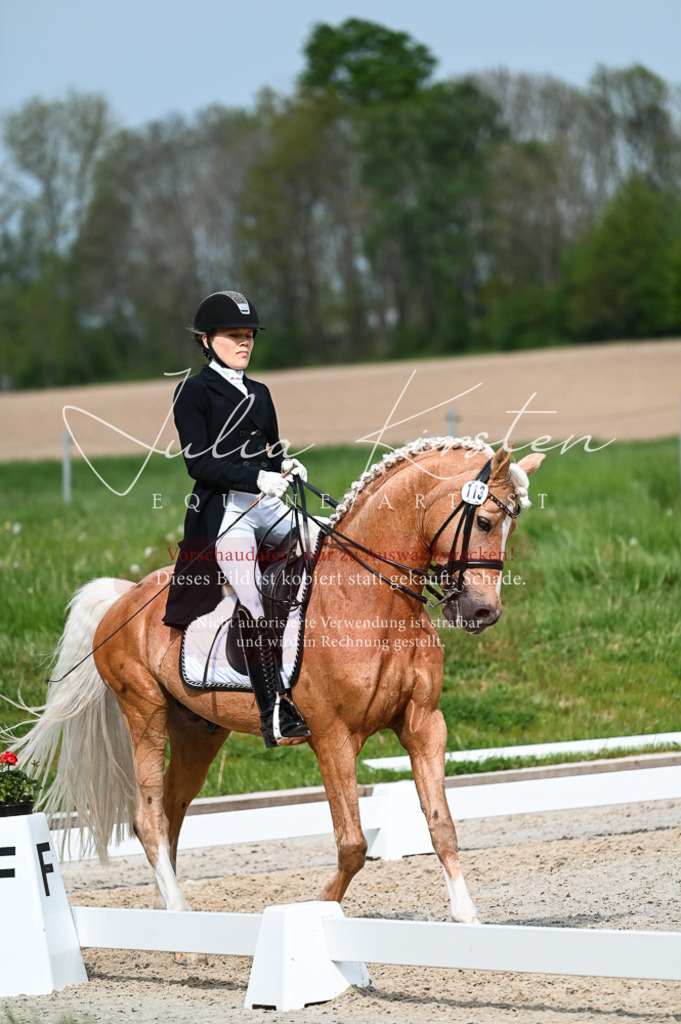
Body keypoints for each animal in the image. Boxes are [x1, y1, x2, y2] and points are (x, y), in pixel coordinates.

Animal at [13, 438, 543, 925]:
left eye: (512, 525)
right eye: (484, 522)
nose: (482, 613)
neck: (371, 598)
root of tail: (125, 598)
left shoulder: (424, 724)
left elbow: (442, 825)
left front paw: (467, 918)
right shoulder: (332, 737)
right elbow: (352, 844)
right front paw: (316, 912)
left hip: (198, 731)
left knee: (170, 811)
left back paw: (175, 919)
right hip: (145, 713)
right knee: (147, 817)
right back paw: (182, 923)